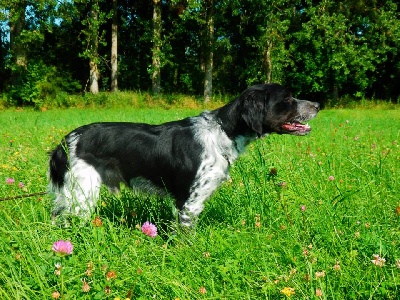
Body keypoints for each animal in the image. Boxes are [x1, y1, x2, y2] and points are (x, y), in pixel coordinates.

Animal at [49, 83, 318, 226]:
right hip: (81, 195)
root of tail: (64, 142)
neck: (222, 131)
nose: (317, 105)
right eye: (287, 98)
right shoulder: (189, 201)